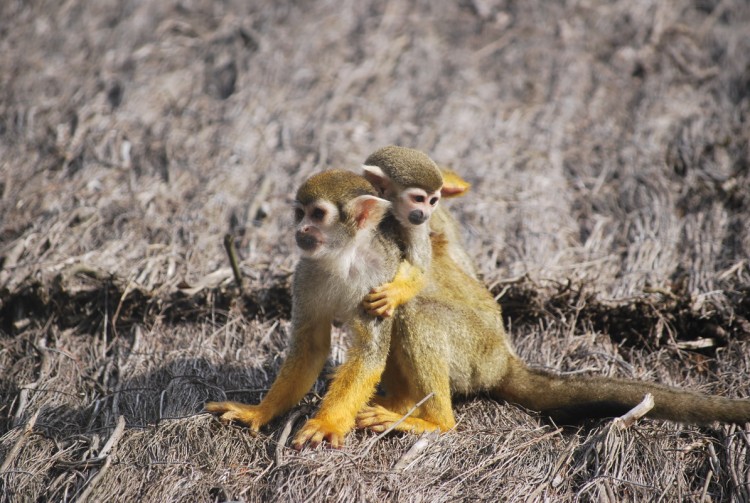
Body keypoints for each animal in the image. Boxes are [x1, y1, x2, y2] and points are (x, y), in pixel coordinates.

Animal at [206, 171, 406, 450]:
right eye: (300, 214)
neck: (344, 258)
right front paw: (260, 411)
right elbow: (309, 346)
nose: (302, 229)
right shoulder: (304, 274)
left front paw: (326, 423)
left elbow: (368, 353)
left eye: (318, 214)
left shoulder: (378, 278)